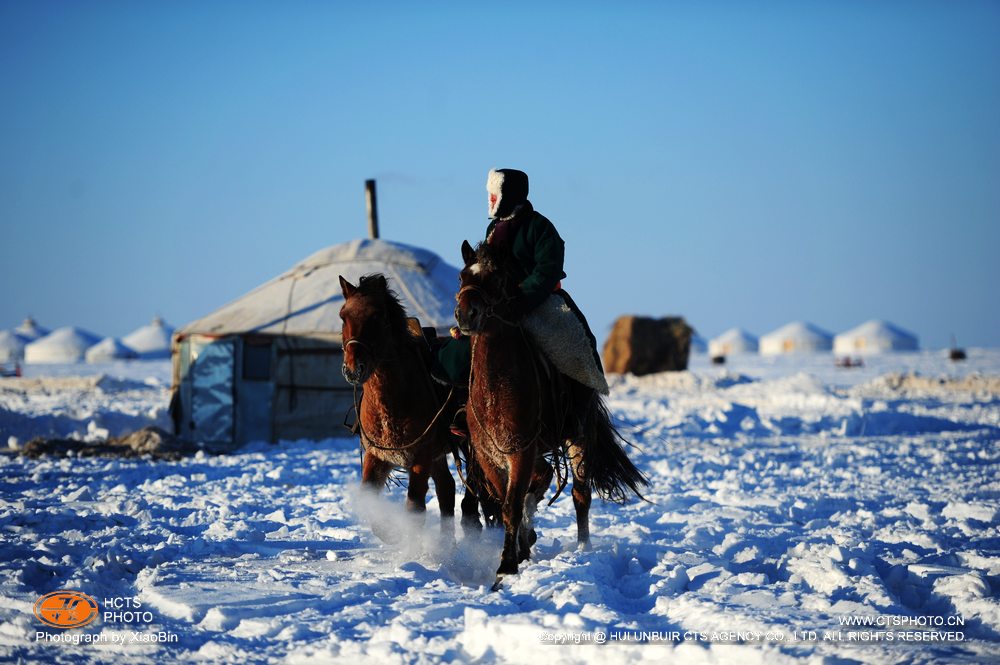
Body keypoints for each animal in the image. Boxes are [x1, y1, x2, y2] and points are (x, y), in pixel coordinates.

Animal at [340, 274, 492, 536]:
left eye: (377, 316)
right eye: (343, 316)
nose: (353, 369)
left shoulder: (422, 456)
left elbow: (414, 508)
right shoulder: (377, 456)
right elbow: (371, 503)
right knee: (446, 488)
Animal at [456, 239, 648, 580]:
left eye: (496, 280)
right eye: (462, 276)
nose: (466, 315)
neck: (495, 389)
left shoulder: (520, 451)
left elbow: (511, 505)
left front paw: (506, 567)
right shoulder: (488, 455)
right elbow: (506, 500)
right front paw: (519, 549)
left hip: (578, 438)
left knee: (580, 495)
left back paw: (583, 548)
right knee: (544, 477)